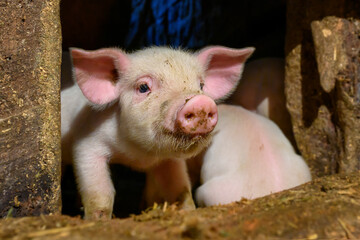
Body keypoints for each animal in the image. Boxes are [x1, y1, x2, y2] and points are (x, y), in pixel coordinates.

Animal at [60, 45, 255, 219]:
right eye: (143, 87)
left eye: (201, 85)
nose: (200, 102)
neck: (139, 156)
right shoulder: (87, 143)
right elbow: (100, 193)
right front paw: (98, 221)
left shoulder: (170, 159)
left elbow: (179, 188)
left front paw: (188, 211)